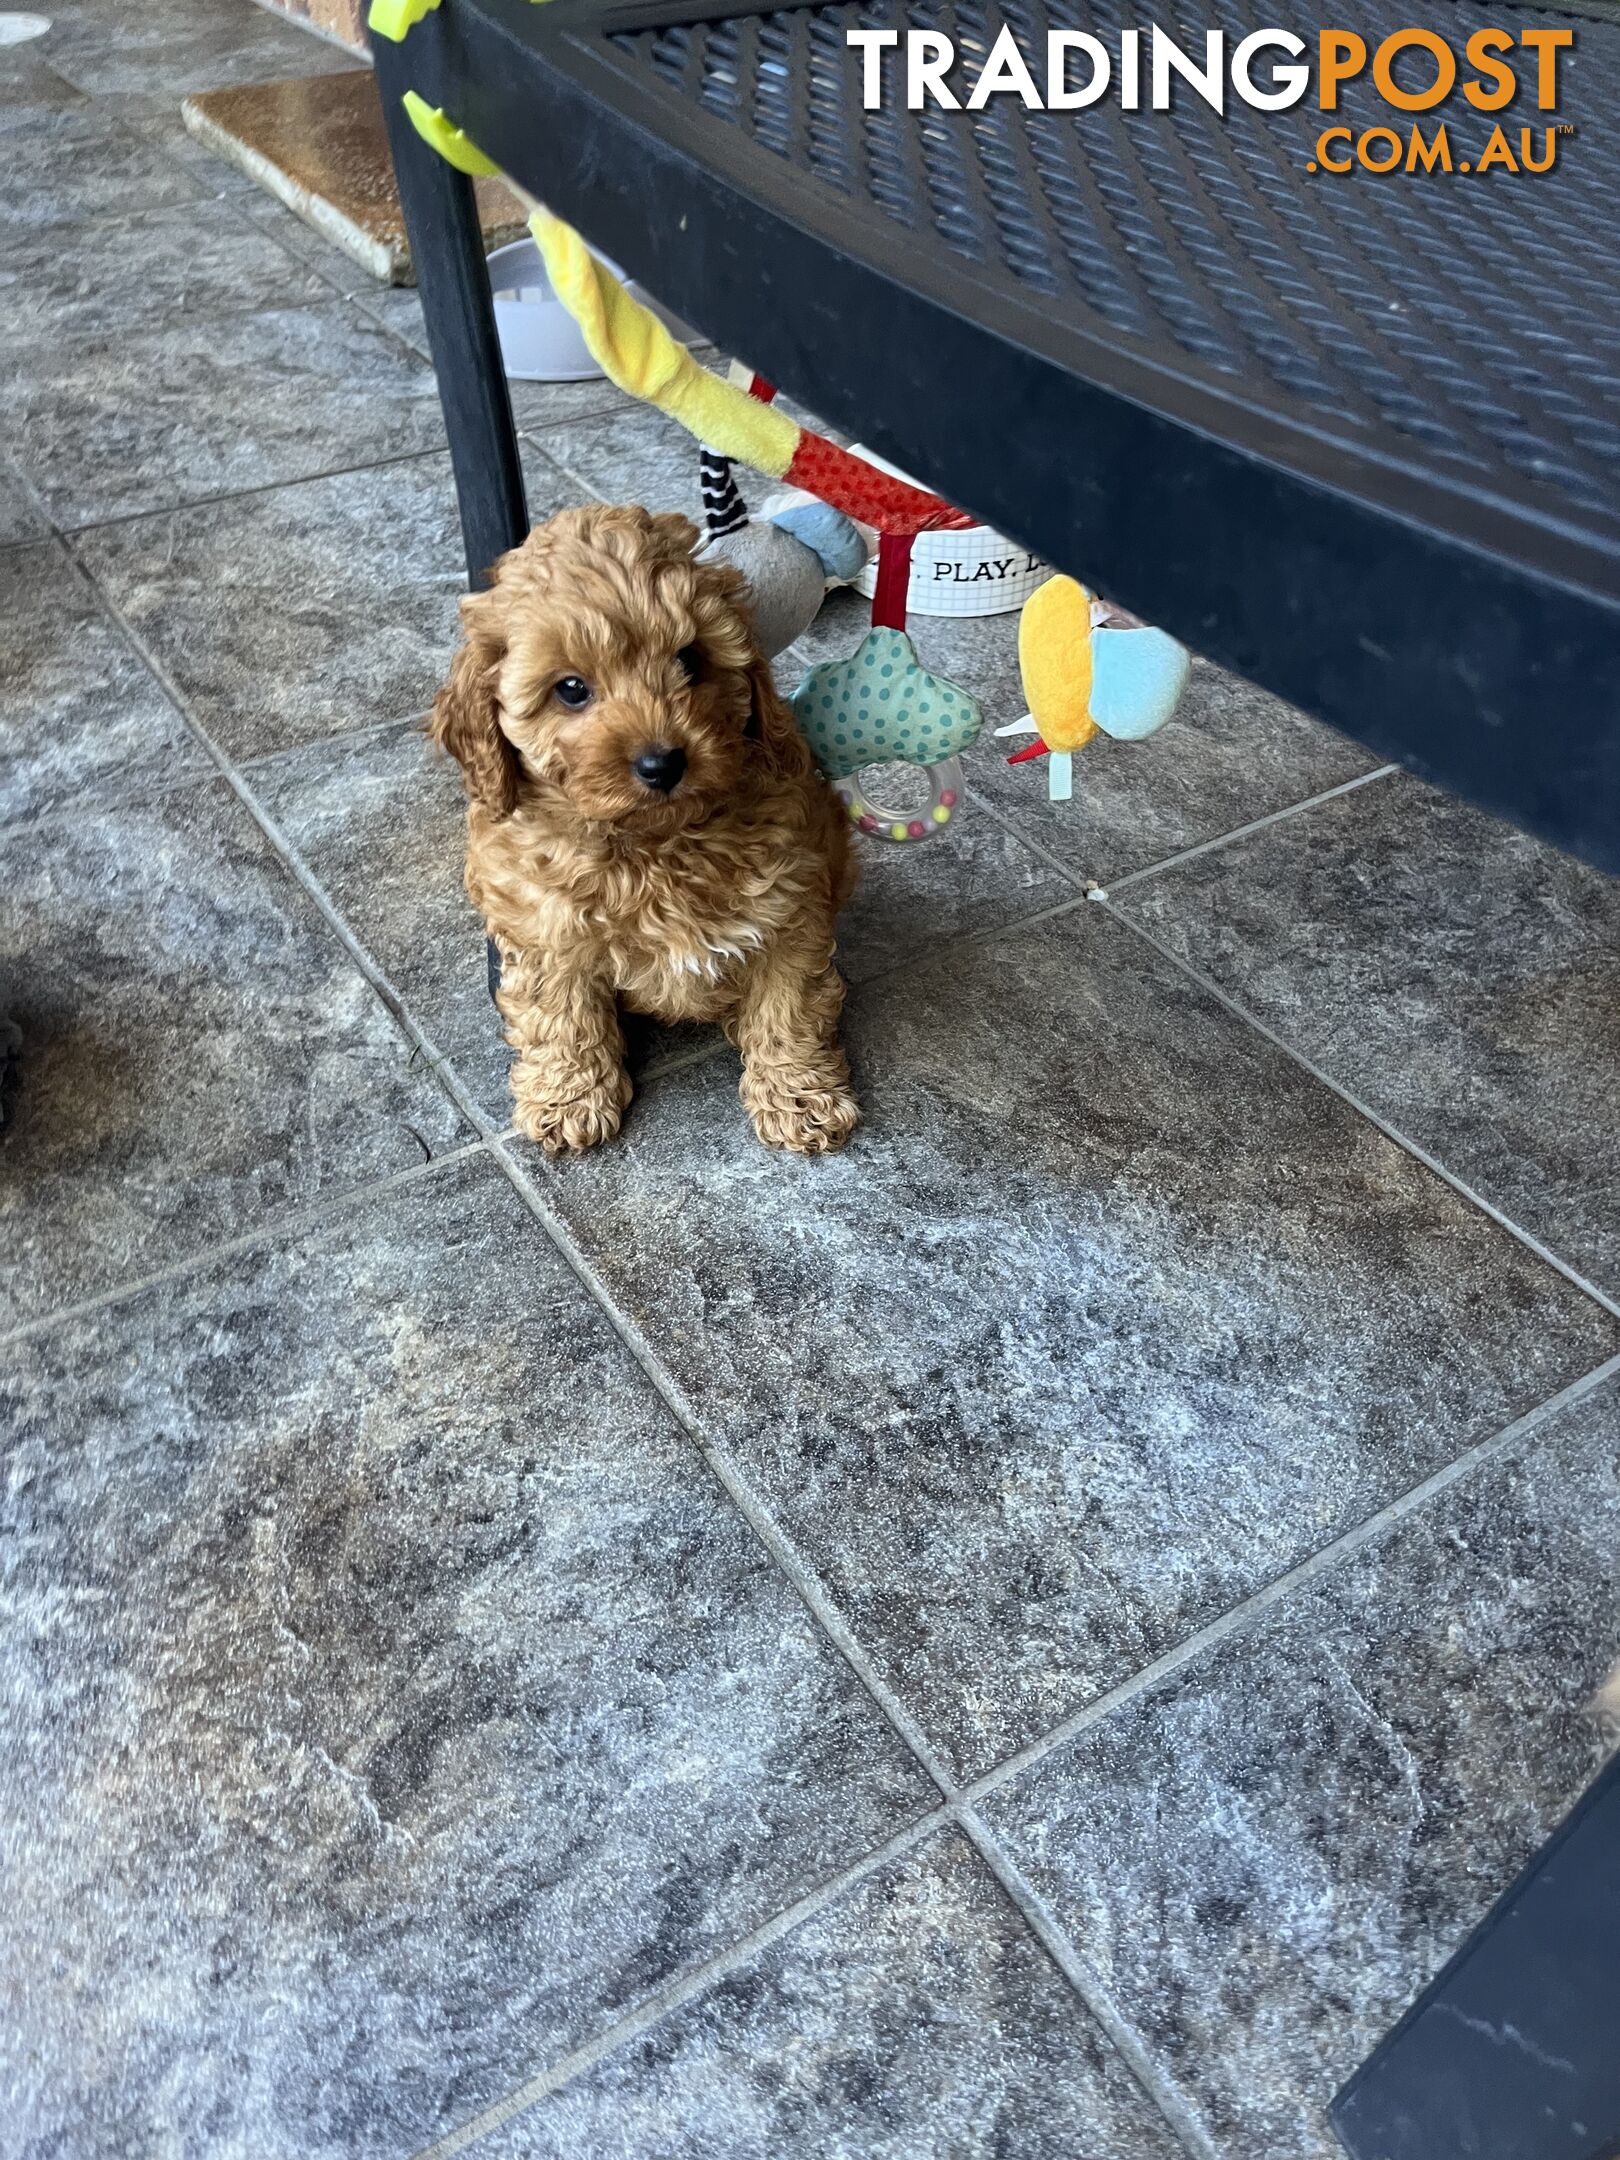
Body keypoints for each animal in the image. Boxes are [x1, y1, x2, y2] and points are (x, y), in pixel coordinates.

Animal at [432, 503, 864, 1157]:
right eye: (571, 689)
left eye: (689, 660)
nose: (663, 763)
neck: (654, 844)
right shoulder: (544, 928)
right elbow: (560, 1014)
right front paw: (569, 1098)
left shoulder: (793, 908)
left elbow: (789, 1007)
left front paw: (799, 1097)